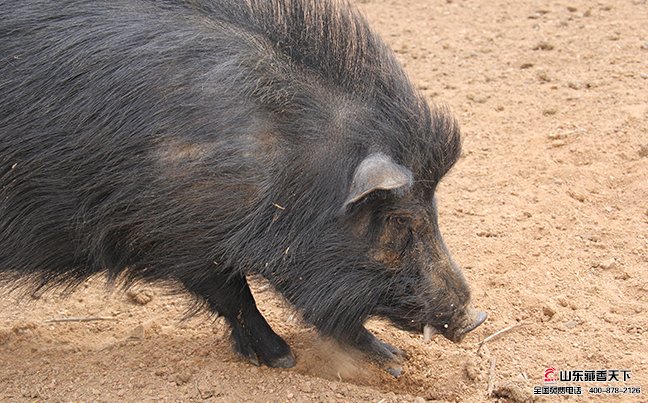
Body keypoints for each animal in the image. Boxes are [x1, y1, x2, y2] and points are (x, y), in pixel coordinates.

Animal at [1, 0, 486, 374]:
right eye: (400, 218)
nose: (474, 318)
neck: (283, 162)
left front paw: (392, 360)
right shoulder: (183, 239)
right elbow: (238, 296)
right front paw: (287, 360)